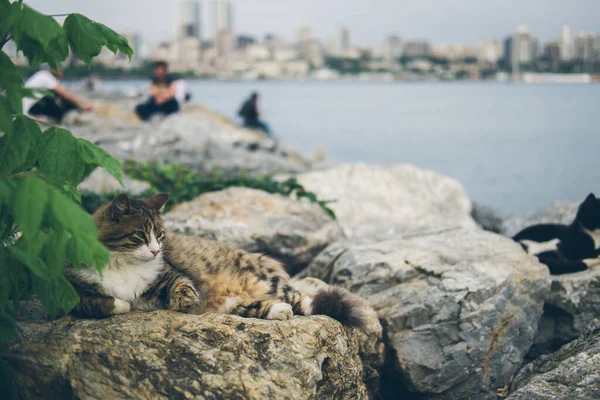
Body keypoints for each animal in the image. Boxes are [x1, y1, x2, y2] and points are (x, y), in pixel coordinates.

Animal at [65, 194, 366, 328]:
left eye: (160, 235)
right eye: (140, 235)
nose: (155, 251)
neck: (124, 265)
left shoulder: (170, 274)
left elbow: (182, 285)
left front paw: (185, 300)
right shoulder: (71, 290)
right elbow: (106, 303)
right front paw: (124, 303)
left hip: (266, 281)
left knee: (305, 299)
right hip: (233, 303)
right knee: (257, 307)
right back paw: (280, 311)